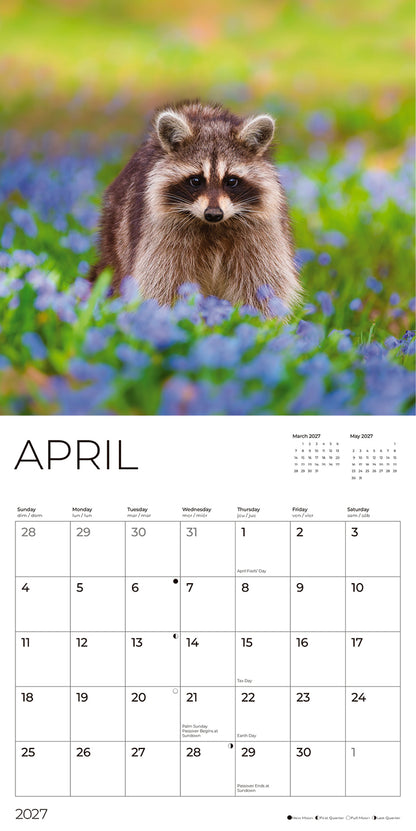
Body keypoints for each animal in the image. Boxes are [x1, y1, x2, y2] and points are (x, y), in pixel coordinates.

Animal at [89, 100, 300, 315]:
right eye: (196, 181)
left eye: (231, 181)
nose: (213, 214)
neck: (215, 227)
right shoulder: (161, 235)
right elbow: (162, 281)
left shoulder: (260, 234)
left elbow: (263, 280)